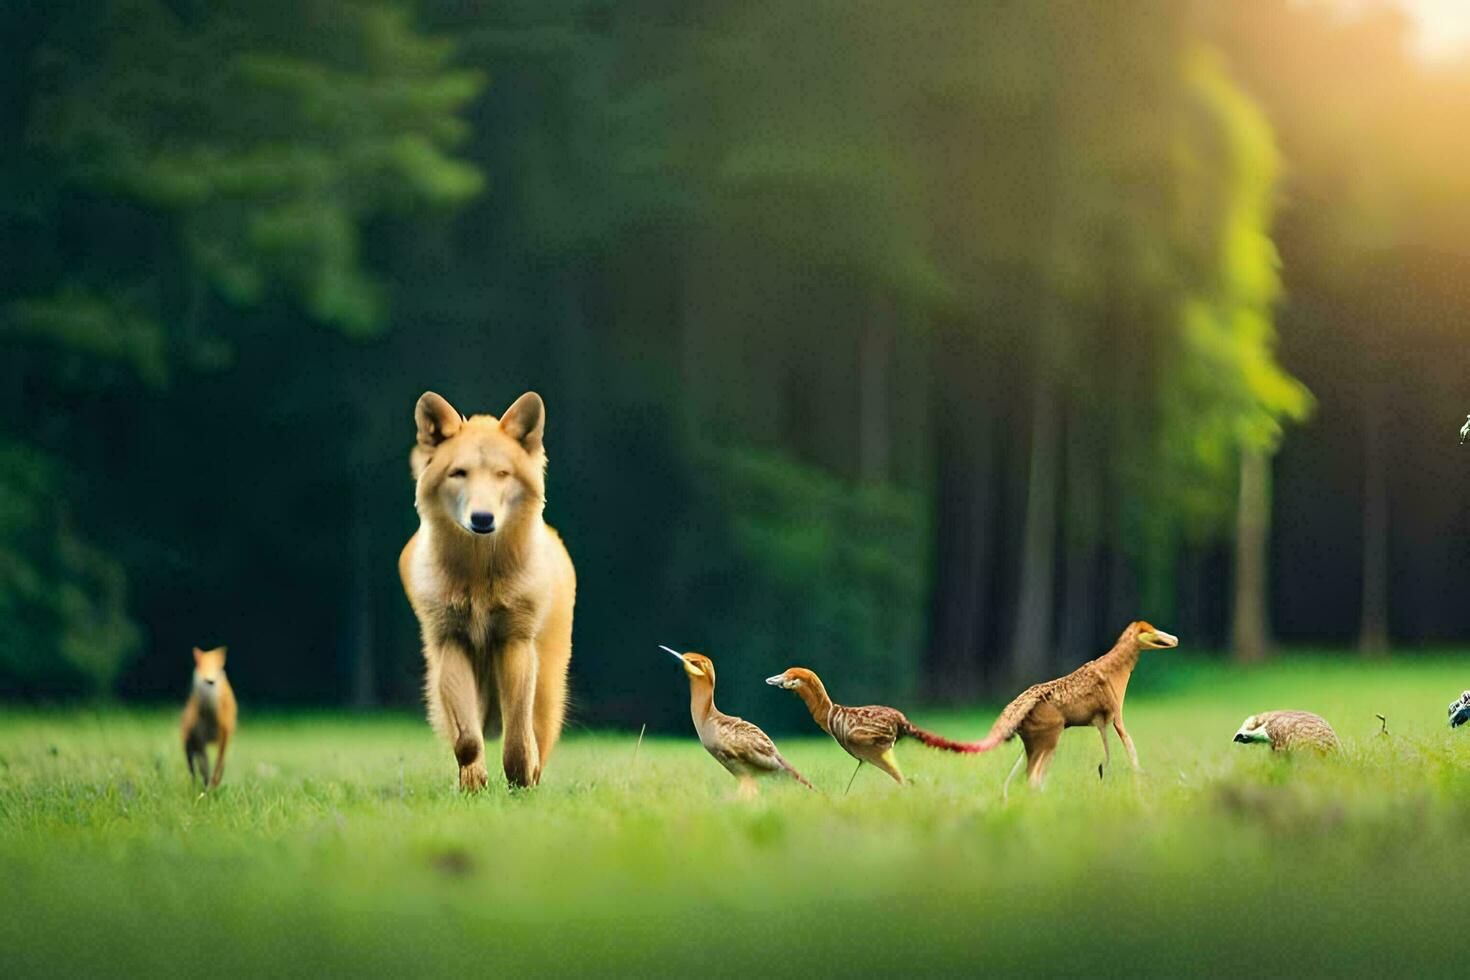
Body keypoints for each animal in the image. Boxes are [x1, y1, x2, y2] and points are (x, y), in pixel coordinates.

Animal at [399, 390, 576, 787]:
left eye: (502, 474)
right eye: (458, 473)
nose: (482, 519)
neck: (479, 581)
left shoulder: (514, 644)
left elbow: (518, 739)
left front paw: (520, 781)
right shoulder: (451, 644)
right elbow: (467, 738)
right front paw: (473, 783)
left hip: (546, 689)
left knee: (537, 734)